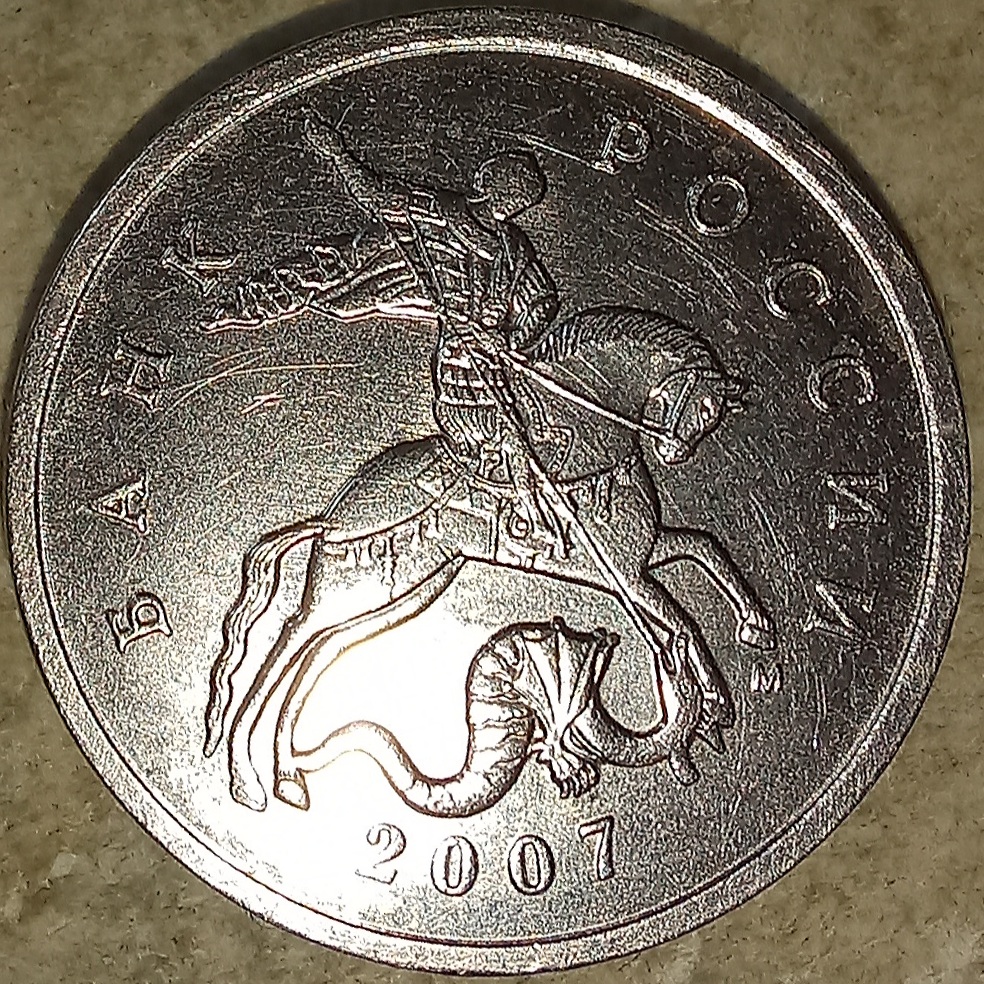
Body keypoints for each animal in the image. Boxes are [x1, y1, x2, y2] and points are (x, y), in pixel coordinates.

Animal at [202, 305, 775, 812]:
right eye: (702, 409)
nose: (675, 453)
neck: (586, 454)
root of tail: (333, 516)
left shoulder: (640, 557)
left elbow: (704, 553)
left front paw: (751, 637)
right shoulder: (628, 576)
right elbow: (682, 620)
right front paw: (713, 699)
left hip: (407, 589)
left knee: (322, 652)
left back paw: (286, 775)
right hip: (351, 587)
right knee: (289, 641)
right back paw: (248, 780)